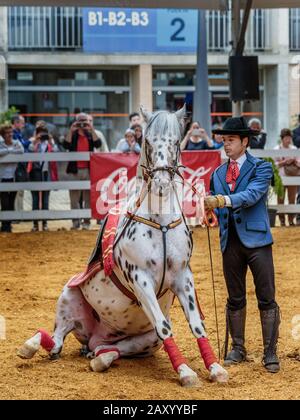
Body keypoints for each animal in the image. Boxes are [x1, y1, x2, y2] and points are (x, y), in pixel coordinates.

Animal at [17, 106, 229, 388]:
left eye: (175, 142)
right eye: (147, 141)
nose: (161, 184)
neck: (159, 223)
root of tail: (96, 336)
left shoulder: (183, 277)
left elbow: (196, 324)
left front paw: (215, 367)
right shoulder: (140, 279)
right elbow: (165, 326)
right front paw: (186, 372)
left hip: (144, 341)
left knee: (108, 349)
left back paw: (101, 358)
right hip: (69, 298)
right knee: (57, 340)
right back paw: (31, 345)